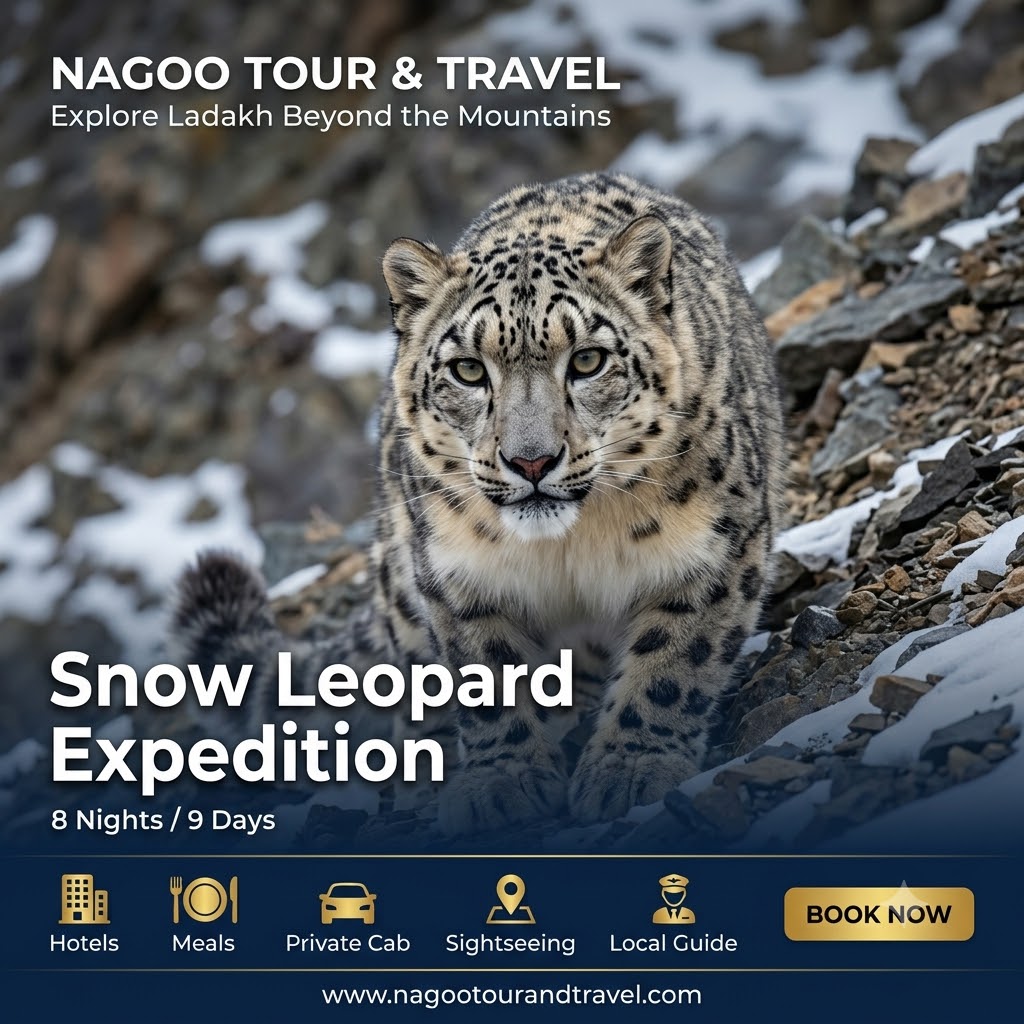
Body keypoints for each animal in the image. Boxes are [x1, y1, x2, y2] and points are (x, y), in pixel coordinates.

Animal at [171, 172, 785, 836]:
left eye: (588, 360)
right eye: (468, 369)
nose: (531, 461)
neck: (572, 546)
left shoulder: (715, 549)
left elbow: (673, 664)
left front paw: (632, 765)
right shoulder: (459, 572)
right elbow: (485, 676)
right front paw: (505, 782)